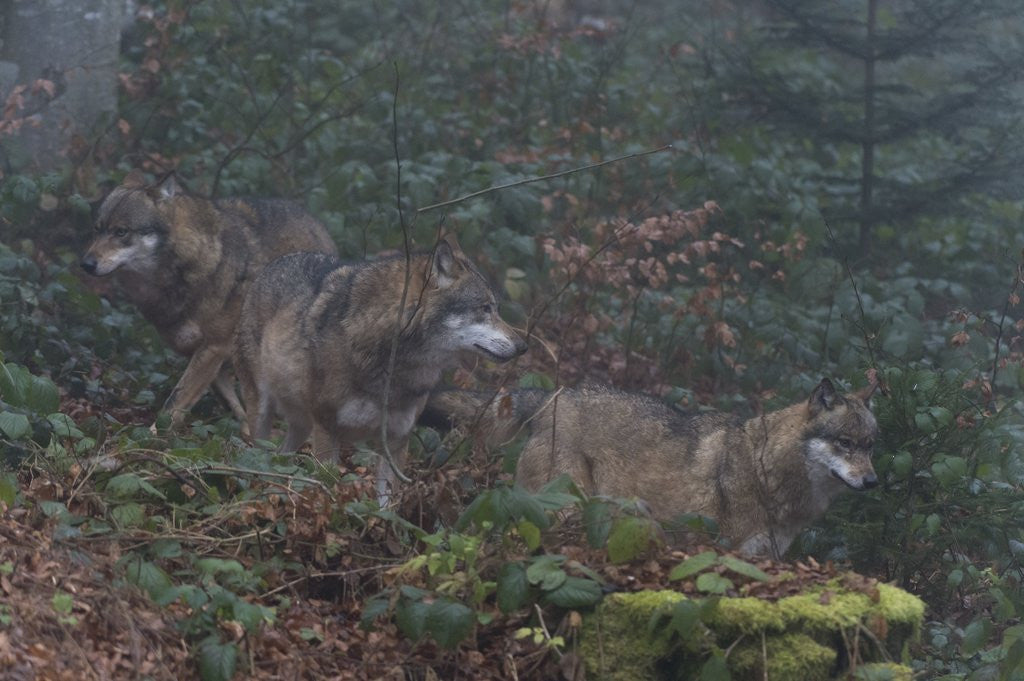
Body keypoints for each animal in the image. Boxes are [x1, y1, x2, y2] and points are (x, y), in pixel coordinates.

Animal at [80, 170, 337, 431]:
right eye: (97, 229)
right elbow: (229, 404)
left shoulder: (214, 347)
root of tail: (316, 223)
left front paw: (152, 434)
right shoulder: (200, 353)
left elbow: (175, 400)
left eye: (121, 232)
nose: (86, 264)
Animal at [234, 235, 528, 499]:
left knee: (280, 456)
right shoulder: (327, 429)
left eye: (496, 309)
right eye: (485, 308)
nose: (523, 347)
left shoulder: (397, 440)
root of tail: (274, 264)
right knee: (258, 455)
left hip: (302, 425)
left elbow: (386, 505)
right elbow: (327, 489)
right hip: (264, 413)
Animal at [421, 379, 878, 557]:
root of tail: (555, 396)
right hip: (563, 509)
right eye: (845, 443)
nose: (873, 481)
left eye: (871, 446)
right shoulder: (720, 549)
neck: (768, 469)